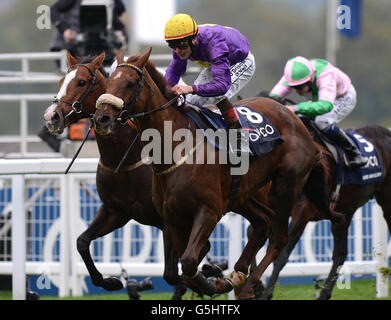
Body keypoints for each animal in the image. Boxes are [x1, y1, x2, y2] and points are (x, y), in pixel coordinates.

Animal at [42, 51, 190, 298]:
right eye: (61, 81)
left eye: (81, 82)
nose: (51, 116)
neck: (127, 158)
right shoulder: (115, 212)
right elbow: (81, 241)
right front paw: (110, 282)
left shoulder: (170, 221)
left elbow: (175, 273)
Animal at [92, 48, 344, 300]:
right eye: (107, 83)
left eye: (130, 83)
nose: (101, 118)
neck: (175, 147)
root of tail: (299, 124)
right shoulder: (172, 218)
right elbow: (180, 270)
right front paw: (215, 278)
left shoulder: (208, 212)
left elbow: (189, 261)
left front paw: (212, 282)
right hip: (242, 194)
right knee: (263, 221)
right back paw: (237, 274)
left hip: (286, 185)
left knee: (278, 238)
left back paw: (249, 285)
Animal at [258, 93, 391, 300]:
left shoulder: (302, 211)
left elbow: (282, 254)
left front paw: (265, 293)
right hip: (345, 211)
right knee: (340, 254)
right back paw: (324, 293)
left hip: (386, 198)